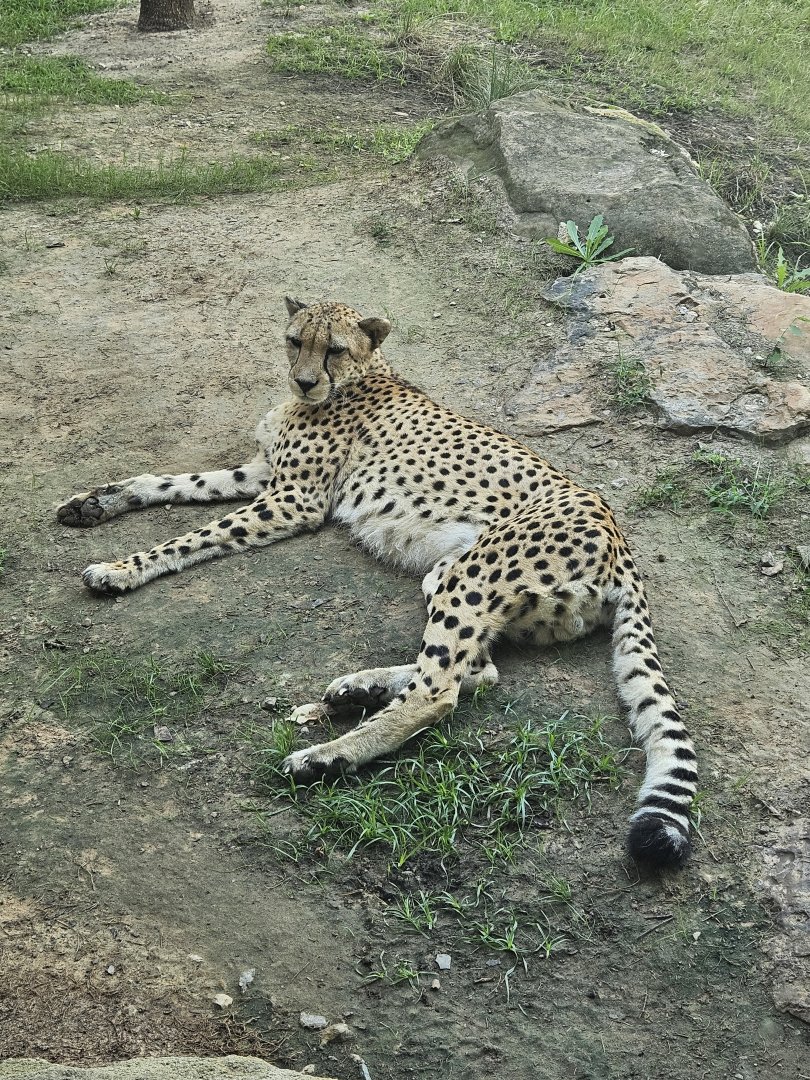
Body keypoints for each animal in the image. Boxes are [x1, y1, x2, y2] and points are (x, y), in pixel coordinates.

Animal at [57, 296, 697, 867]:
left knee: (439, 692)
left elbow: (191, 536)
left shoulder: (292, 501)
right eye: (295, 340)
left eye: (334, 349)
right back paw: (358, 689)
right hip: (451, 574)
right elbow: (169, 481)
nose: (305, 382)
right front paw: (95, 503)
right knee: (479, 671)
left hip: (470, 576)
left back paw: (327, 757)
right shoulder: (262, 473)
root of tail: (619, 538)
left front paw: (120, 568)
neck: (359, 377)